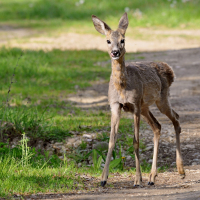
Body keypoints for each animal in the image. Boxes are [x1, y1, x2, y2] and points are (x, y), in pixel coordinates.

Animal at [91, 12, 185, 187]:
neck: (122, 87)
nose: (115, 52)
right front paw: (103, 179)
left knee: (176, 118)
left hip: (160, 99)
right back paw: (152, 177)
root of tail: (169, 70)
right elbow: (111, 140)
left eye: (123, 40)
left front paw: (136, 179)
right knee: (157, 126)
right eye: (108, 41)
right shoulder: (115, 105)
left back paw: (181, 170)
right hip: (145, 107)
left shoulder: (134, 104)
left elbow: (136, 141)